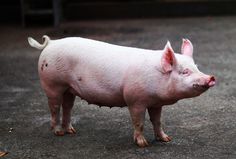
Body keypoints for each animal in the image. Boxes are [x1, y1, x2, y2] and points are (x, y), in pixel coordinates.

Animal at [28, 35, 216, 147]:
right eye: (185, 72)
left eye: (197, 67)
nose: (211, 77)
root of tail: (51, 43)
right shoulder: (135, 99)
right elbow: (139, 122)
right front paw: (143, 144)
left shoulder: (156, 103)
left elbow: (157, 121)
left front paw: (166, 139)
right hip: (52, 84)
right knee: (54, 107)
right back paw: (58, 132)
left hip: (69, 89)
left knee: (67, 106)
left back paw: (71, 131)